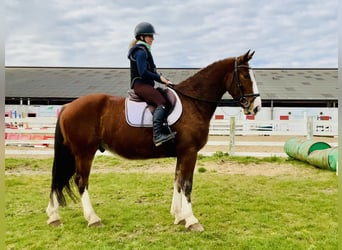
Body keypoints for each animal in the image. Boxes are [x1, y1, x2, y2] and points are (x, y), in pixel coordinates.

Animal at [44, 49, 260, 231]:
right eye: (245, 75)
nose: (256, 106)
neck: (193, 102)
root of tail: (68, 107)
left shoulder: (182, 153)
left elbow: (177, 181)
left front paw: (178, 216)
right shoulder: (189, 152)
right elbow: (187, 184)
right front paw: (191, 220)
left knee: (58, 179)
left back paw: (54, 216)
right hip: (84, 153)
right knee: (81, 181)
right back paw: (92, 218)